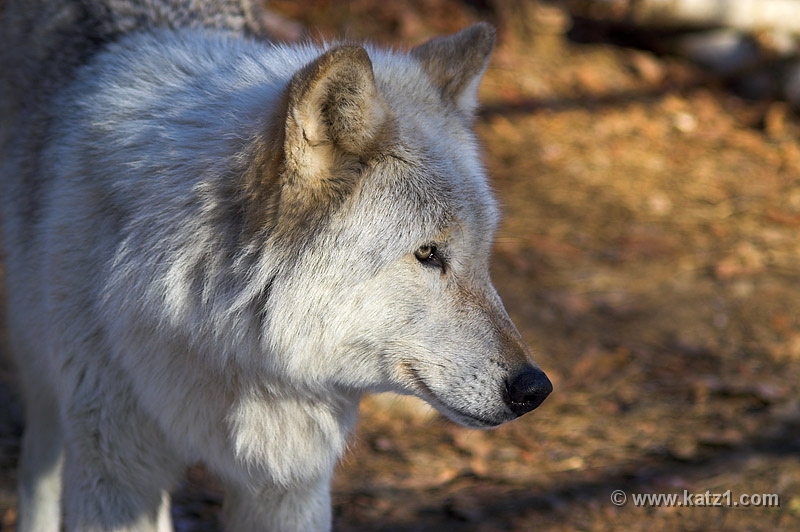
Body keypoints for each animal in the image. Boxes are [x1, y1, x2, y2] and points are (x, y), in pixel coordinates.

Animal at [0, 1, 552, 530]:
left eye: (482, 252)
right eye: (426, 253)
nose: (535, 388)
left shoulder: (289, 485)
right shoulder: (114, 466)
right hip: (41, 361)